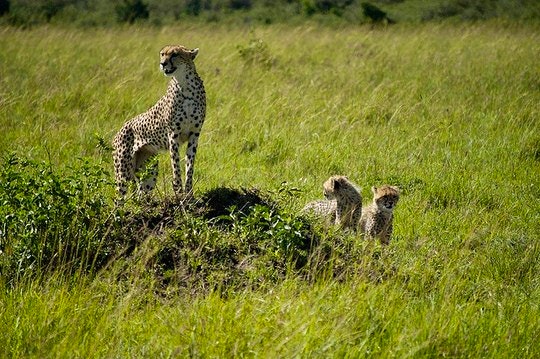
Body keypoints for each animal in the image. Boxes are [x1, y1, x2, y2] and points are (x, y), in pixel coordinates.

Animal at [113, 44, 206, 202]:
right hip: (123, 172)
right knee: (119, 199)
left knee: (141, 194)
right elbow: (176, 165)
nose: (163, 64)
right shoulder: (173, 134)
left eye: (175, 54)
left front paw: (189, 194)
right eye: (162, 54)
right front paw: (178, 192)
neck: (185, 84)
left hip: (148, 172)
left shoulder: (194, 134)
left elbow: (189, 166)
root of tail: (118, 131)